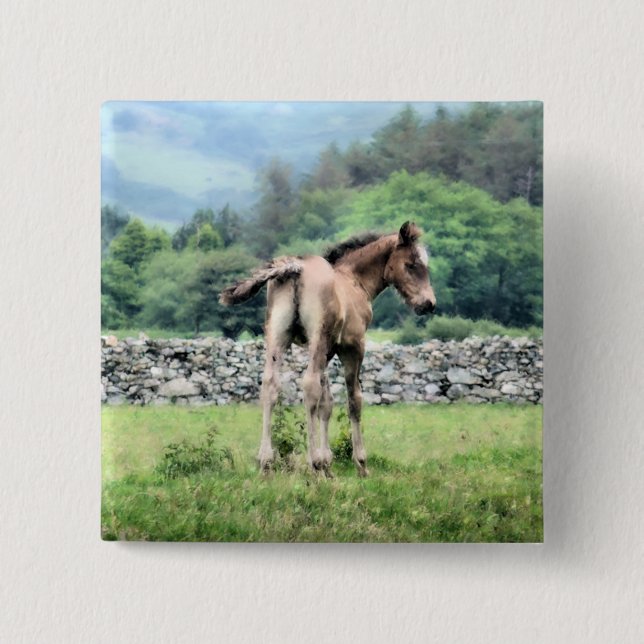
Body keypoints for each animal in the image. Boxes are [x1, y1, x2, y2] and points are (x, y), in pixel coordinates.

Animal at [220, 221, 436, 477]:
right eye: (411, 264)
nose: (428, 304)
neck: (354, 280)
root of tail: (295, 268)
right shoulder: (352, 347)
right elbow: (353, 399)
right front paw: (359, 464)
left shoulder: (326, 350)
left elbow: (327, 403)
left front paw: (327, 465)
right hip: (318, 337)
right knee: (309, 385)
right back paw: (311, 463)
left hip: (277, 336)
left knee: (271, 384)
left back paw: (266, 462)